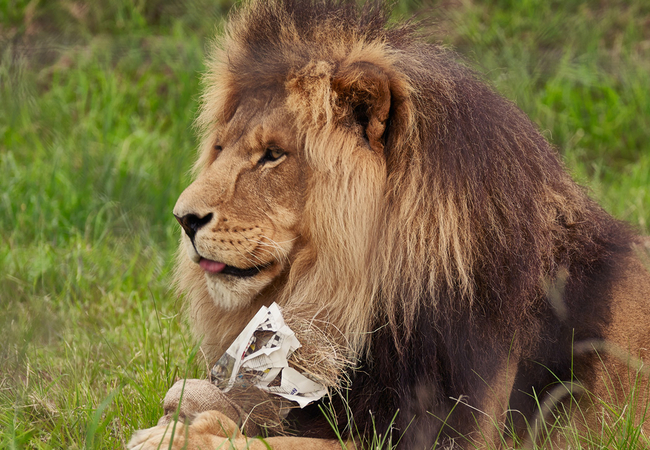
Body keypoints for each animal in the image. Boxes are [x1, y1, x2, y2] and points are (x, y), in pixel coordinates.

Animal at [128, 0, 650, 449]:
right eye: (219, 148)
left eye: (273, 155)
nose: (183, 218)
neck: (352, 299)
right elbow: (212, 396)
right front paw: (186, 411)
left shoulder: (455, 434)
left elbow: (284, 443)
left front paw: (176, 436)